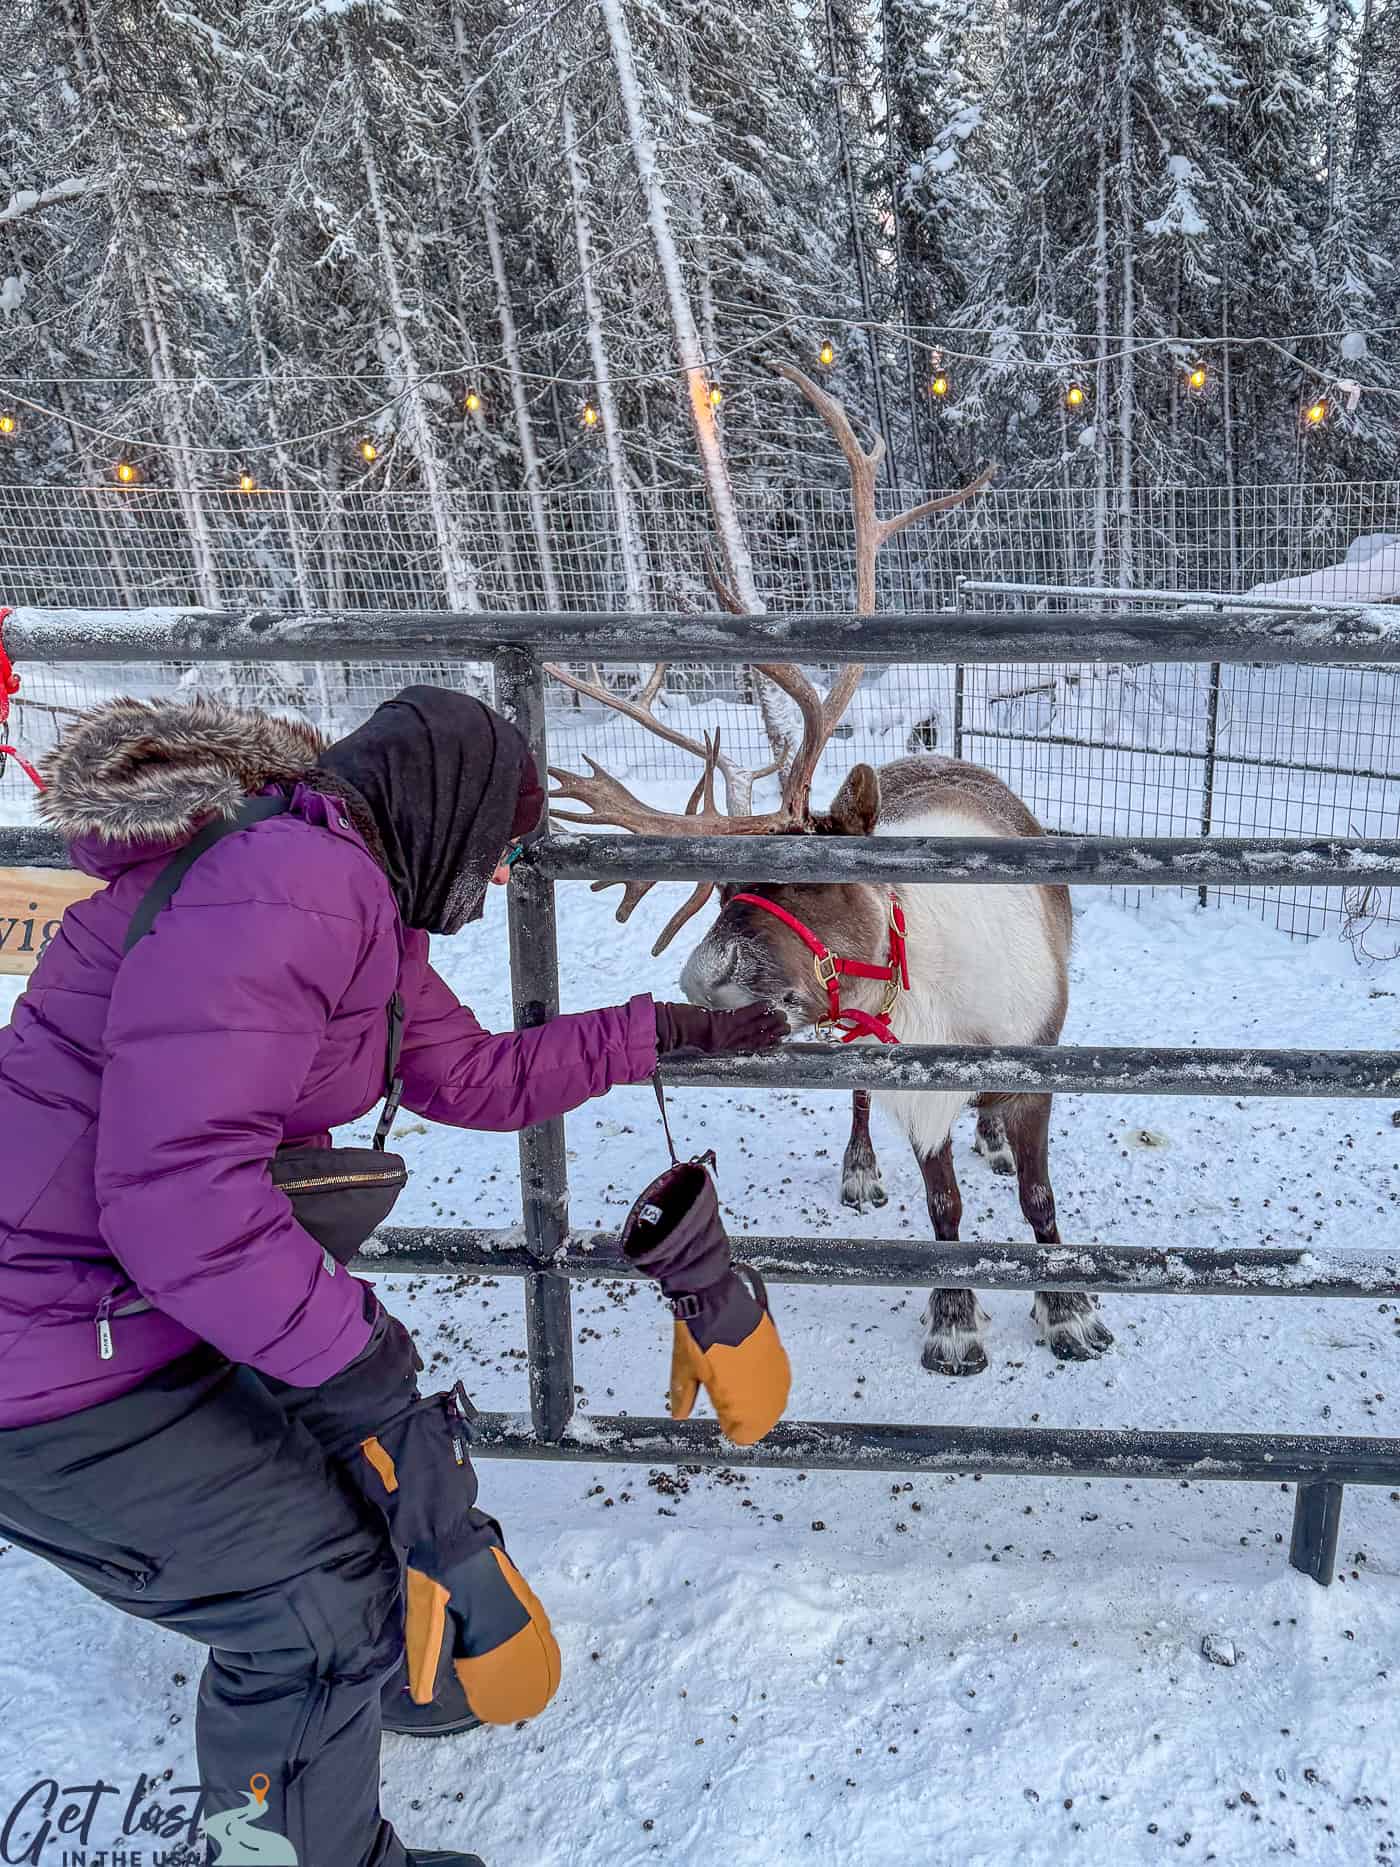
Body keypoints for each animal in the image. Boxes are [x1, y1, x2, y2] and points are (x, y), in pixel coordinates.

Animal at [544, 363, 1112, 1376]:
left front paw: (1069, 1308)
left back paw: (994, 1142)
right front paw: (955, 1320)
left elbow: (1040, 1200)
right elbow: (944, 1209)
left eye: (809, 876)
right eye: (727, 890)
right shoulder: (910, 1087)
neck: (928, 987)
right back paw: (861, 1167)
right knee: (859, 1101)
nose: (700, 975)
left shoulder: (1037, 1050)